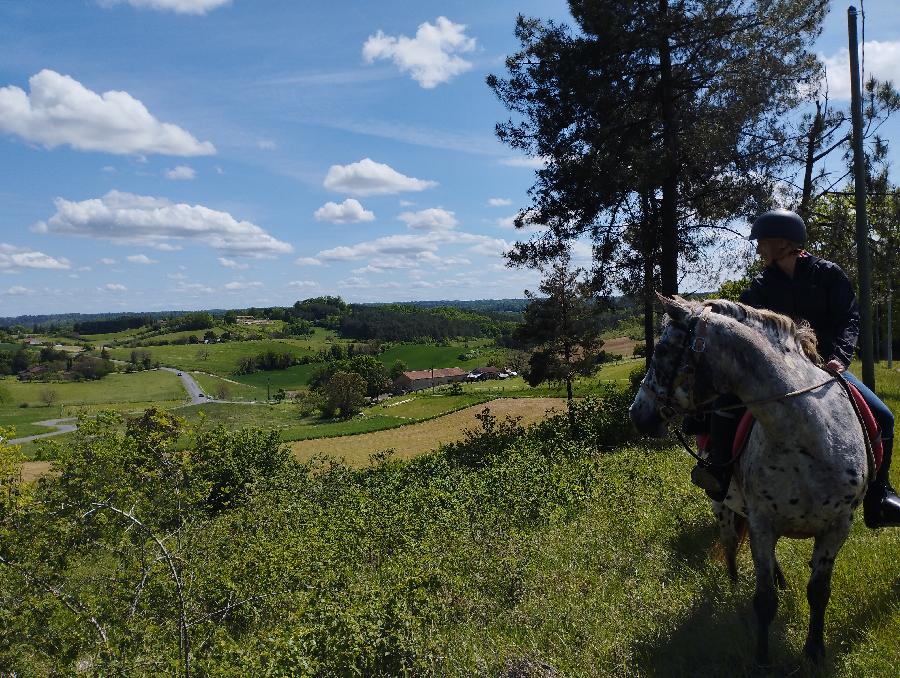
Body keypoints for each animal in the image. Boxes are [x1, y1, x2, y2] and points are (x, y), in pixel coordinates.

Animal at [624, 294, 872, 668]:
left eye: (664, 350)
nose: (637, 414)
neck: (809, 436)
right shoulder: (761, 522)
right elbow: (764, 600)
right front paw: (762, 660)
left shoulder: (837, 527)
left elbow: (818, 592)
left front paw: (814, 651)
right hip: (725, 511)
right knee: (730, 550)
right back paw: (734, 590)